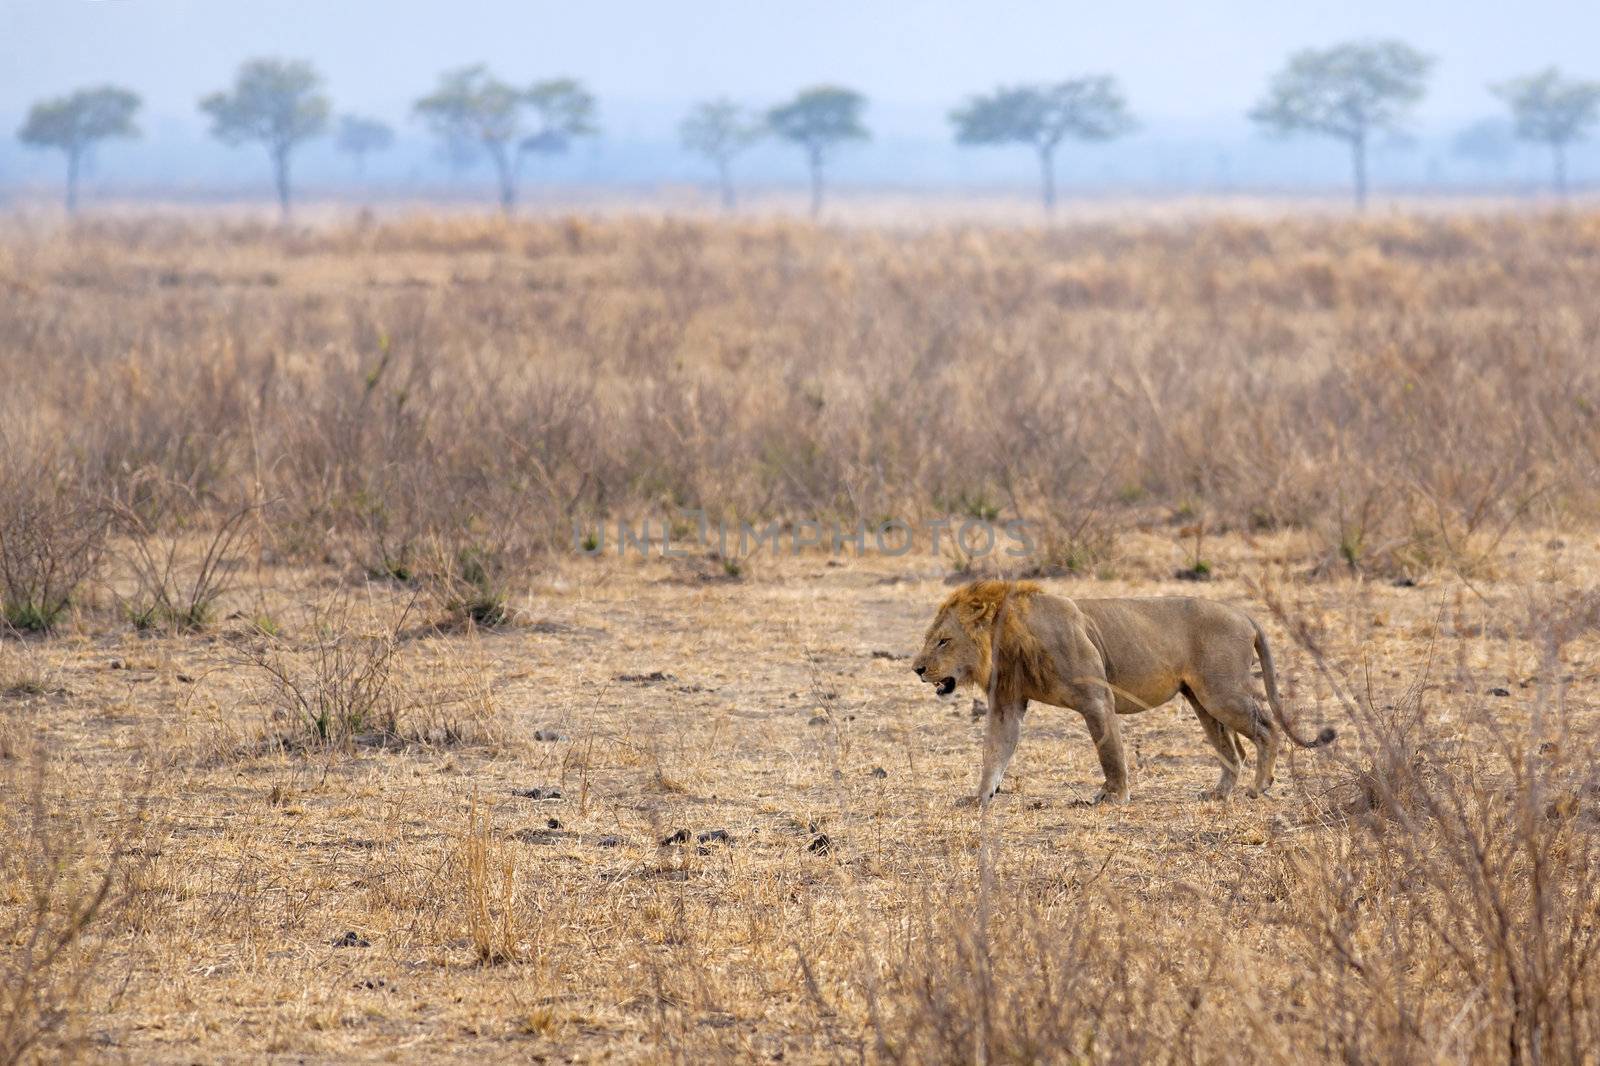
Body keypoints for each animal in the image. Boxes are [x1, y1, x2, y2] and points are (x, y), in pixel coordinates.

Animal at [908, 576, 1331, 800]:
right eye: (931, 638)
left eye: (943, 641)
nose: (917, 669)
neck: (1007, 640)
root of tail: (1244, 614)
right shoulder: (1007, 702)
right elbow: (996, 751)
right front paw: (980, 797)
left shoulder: (1096, 697)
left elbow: (1108, 749)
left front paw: (1113, 796)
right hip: (1201, 699)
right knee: (1233, 750)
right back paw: (1218, 794)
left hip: (1222, 692)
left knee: (1267, 730)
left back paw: (1260, 788)